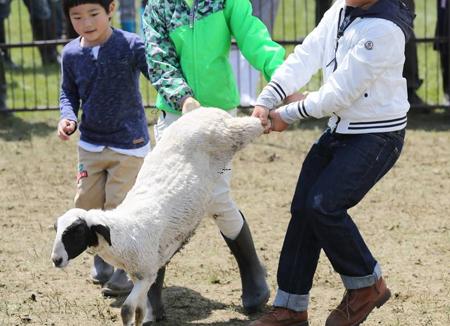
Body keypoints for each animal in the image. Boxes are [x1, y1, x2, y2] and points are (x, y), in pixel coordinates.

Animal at [51, 108, 266, 326]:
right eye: (57, 229)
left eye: (76, 231)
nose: (56, 260)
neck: (123, 231)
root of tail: (206, 110)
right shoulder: (143, 273)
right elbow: (138, 310)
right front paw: (146, 317)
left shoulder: (146, 274)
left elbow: (126, 310)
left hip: (233, 134)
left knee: (254, 125)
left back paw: (266, 116)